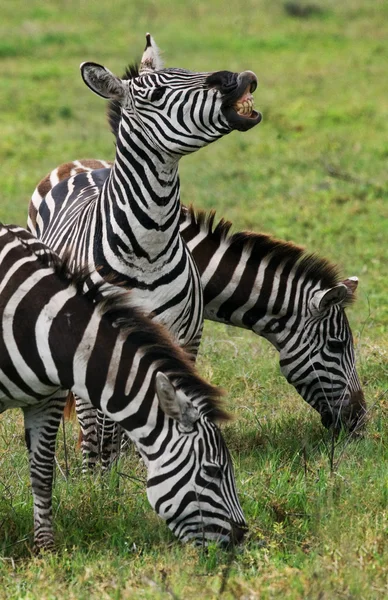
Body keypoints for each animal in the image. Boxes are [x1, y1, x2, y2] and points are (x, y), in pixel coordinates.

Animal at [0, 223, 247, 552]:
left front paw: (46, 549)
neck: (46, 329)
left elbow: (41, 472)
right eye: (212, 471)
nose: (243, 537)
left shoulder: (47, 402)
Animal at [28, 34, 262, 468]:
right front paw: (98, 478)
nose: (238, 78)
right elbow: (98, 424)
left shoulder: (184, 340)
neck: (147, 246)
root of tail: (85, 165)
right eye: (155, 95)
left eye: (187, 70)